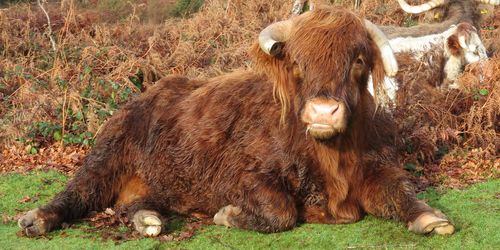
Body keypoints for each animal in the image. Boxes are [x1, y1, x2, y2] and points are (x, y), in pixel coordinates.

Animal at [16, 5, 454, 236]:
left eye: (358, 60)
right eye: (297, 63)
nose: (322, 111)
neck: (331, 156)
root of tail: (143, 95)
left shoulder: (377, 167)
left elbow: (400, 192)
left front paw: (432, 219)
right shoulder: (239, 176)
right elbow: (281, 210)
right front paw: (229, 215)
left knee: (133, 203)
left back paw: (149, 220)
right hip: (105, 156)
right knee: (77, 192)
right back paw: (36, 219)